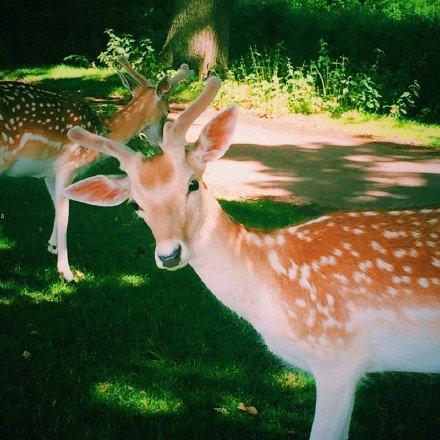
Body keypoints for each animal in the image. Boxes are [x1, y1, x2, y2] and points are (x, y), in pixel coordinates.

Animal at [0, 56, 192, 280]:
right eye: (167, 111)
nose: (159, 141)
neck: (102, 132)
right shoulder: (68, 164)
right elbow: (65, 215)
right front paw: (66, 271)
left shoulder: (49, 172)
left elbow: (55, 206)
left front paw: (52, 246)